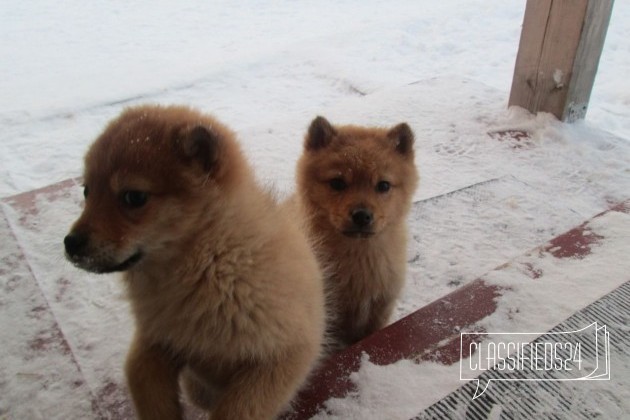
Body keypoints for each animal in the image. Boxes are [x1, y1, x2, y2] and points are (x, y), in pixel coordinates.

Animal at [64, 106, 326, 420]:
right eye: (86, 191)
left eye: (134, 197)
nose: (70, 243)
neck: (213, 262)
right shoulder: (158, 338)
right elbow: (140, 377)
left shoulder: (282, 356)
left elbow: (237, 409)